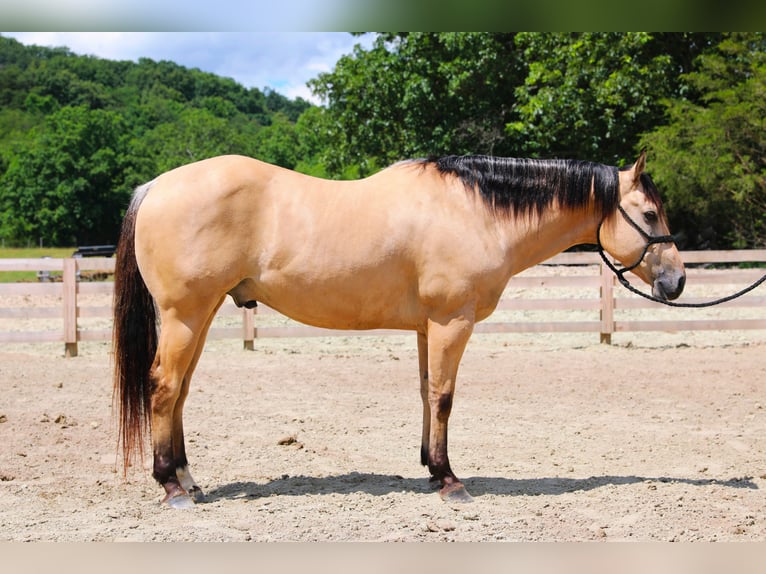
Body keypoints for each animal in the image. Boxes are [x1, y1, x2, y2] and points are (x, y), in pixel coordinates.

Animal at [112, 150, 686, 508]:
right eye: (650, 215)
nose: (677, 281)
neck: (474, 211)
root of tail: (155, 186)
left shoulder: (427, 327)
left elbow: (426, 392)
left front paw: (430, 468)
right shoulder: (453, 321)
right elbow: (445, 395)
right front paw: (450, 479)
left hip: (202, 315)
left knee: (180, 392)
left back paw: (188, 479)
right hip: (185, 316)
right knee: (163, 387)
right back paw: (172, 488)